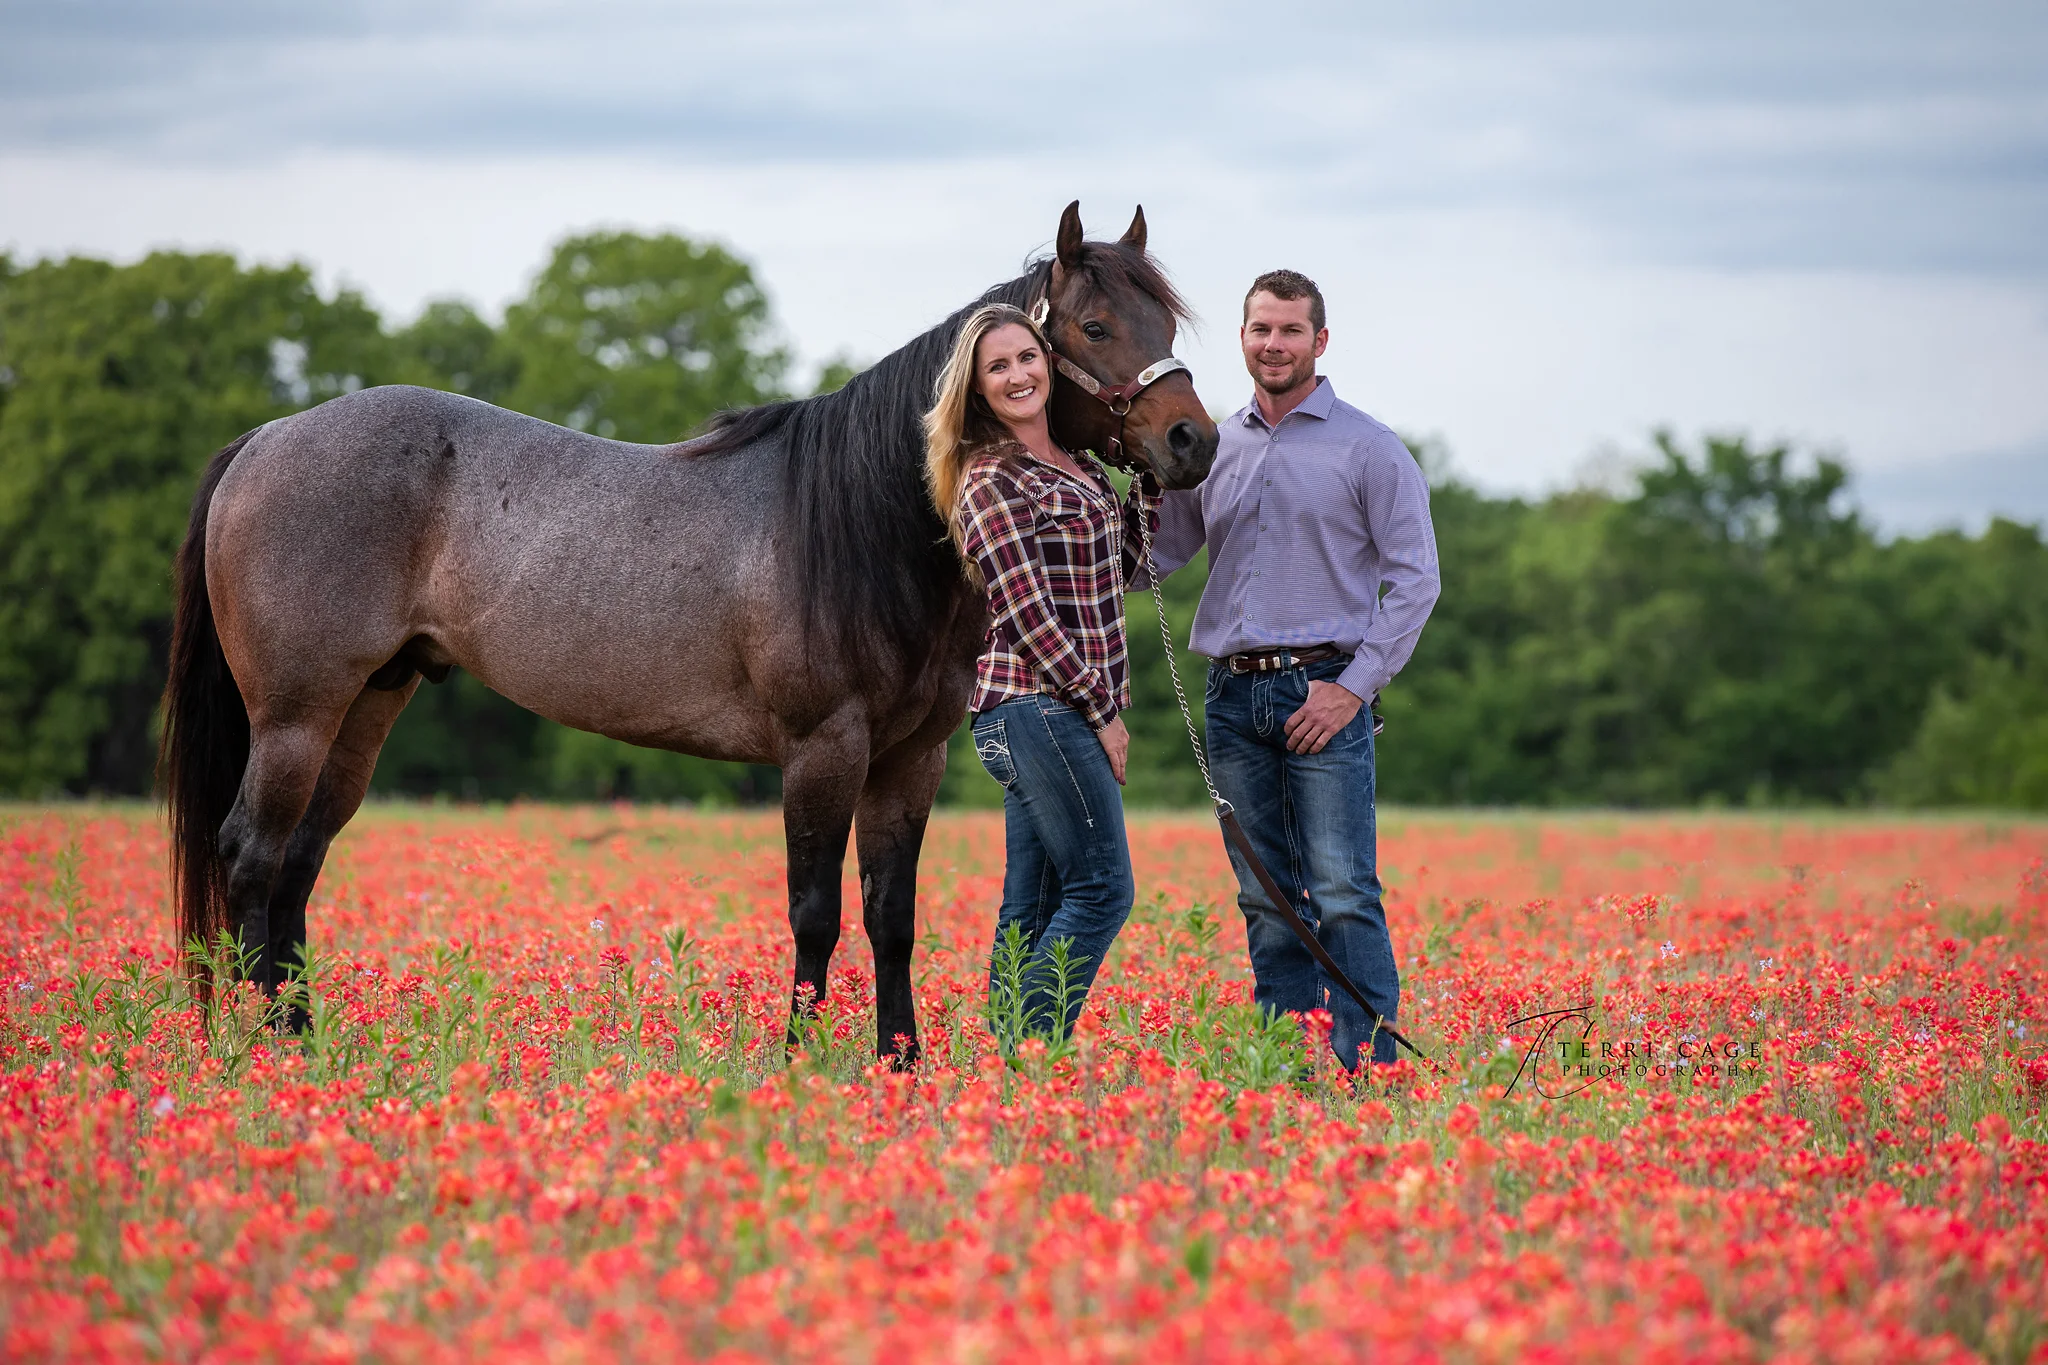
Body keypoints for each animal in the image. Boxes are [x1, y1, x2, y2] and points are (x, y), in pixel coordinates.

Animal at [159, 201, 1220, 1062]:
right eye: (1091, 325)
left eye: (1167, 323)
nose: (1192, 442)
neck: (858, 520)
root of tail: (264, 438)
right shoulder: (822, 749)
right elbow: (814, 911)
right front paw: (797, 1061)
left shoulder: (908, 758)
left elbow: (892, 915)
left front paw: (900, 1065)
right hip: (297, 713)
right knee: (252, 851)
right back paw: (271, 1051)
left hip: (368, 704)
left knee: (299, 861)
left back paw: (304, 1038)